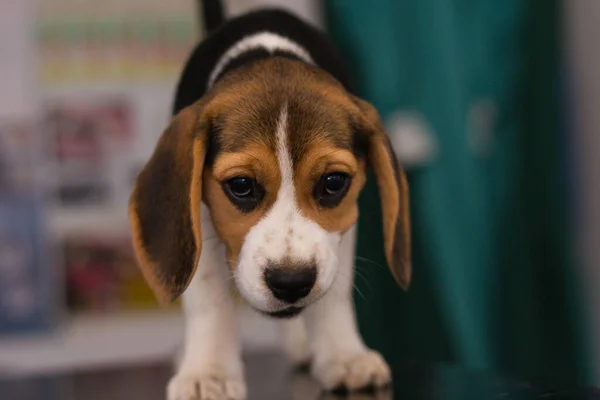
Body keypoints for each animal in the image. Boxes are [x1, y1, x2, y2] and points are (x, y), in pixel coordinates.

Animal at [129, 3, 410, 400]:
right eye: (241, 185)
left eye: (333, 183)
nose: (291, 282)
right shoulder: (197, 216)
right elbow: (208, 296)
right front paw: (209, 372)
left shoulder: (343, 225)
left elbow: (335, 294)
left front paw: (343, 355)